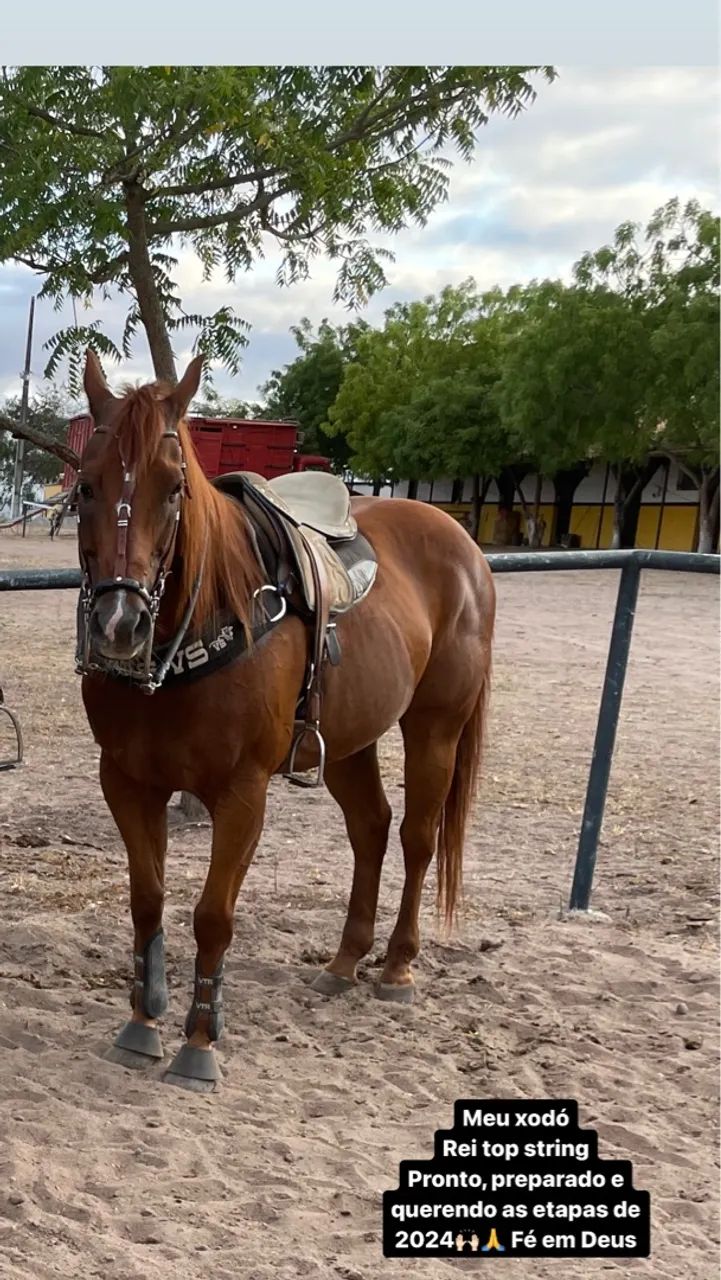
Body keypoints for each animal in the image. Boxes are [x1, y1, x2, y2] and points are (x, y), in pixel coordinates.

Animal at [76, 350, 495, 1091]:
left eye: (174, 488)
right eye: (86, 487)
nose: (119, 625)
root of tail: (464, 545)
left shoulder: (242, 793)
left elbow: (213, 916)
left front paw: (200, 1043)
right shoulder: (126, 782)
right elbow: (147, 899)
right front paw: (143, 1022)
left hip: (435, 728)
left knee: (417, 838)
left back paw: (396, 966)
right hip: (353, 740)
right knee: (371, 828)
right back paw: (344, 961)